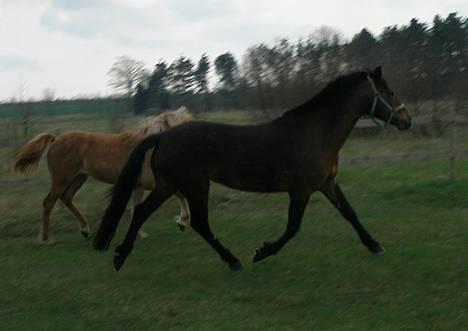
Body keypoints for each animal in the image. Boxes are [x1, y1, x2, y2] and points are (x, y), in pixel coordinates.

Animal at [14, 107, 193, 244]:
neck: (151, 149)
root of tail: (56, 138)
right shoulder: (153, 183)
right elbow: (179, 193)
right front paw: (182, 221)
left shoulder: (138, 185)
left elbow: (135, 208)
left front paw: (139, 234)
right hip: (61, 180)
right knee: (49, 203)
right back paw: (47, 239)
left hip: (79, 178)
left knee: (67, 198)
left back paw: (85, 230)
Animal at [93, 67, 412, 272]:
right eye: (389, 91)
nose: (407, 120)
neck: (316, 133)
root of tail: (163, 136)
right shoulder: (301, 191)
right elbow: (292, 228)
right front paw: (262, 252)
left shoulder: (327, 183)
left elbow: (350, 213)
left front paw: (375, 245)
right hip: (195, 185)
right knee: (198, 223)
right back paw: (233, 260)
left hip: (168, 185)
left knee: (142, 212)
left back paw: (120, 256)